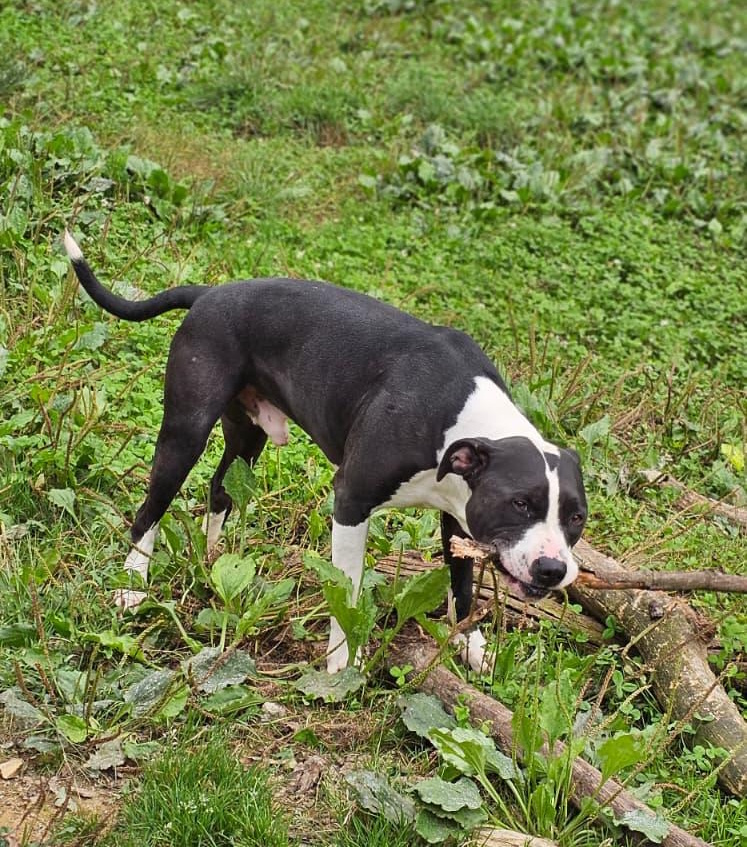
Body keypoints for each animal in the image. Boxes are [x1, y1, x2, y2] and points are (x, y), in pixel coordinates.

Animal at [63, 230, 587, 673]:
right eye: (520, 504)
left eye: (576, 518)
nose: (553, 569)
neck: (464, 414)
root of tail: (209, 293)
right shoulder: (351, 501)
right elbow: (348, 589)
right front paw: (342, 661)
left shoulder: (459, 517)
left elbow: (462, 589)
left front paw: (474, 649)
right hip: (185, 430)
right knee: (151, 507)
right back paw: (133, 586)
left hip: (246, 436)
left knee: (220, 488)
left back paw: (213, 562)